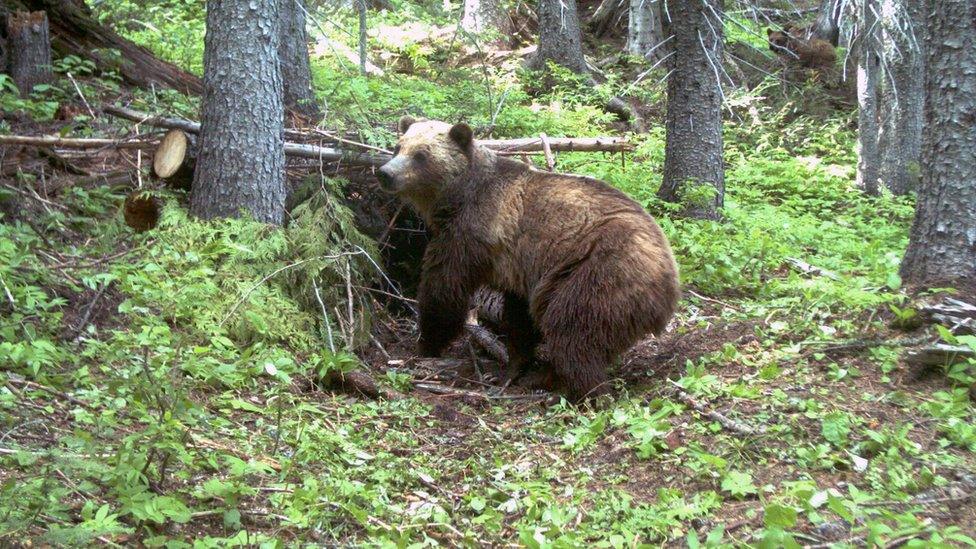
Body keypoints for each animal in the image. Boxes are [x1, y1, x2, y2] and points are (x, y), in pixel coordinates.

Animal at [378, 116, 684, 398]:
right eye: (398, 147)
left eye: (421, 155)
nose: (385, 173)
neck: (456, 197)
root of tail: (670, 287)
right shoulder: (518, 267)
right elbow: (519, 317)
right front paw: (515, 364)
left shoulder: (472, 232)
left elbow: (444, 288)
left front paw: (426, 343)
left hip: (601, 269)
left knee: (573, 328)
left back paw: (574, 387)